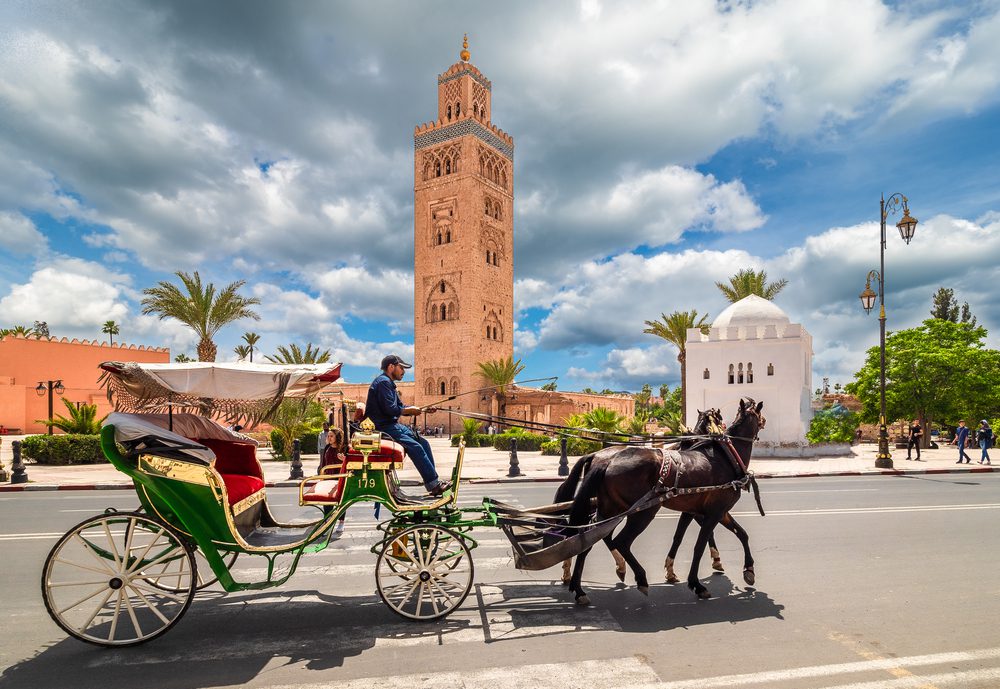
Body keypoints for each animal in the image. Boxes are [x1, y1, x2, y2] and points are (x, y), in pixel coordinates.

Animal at [560, 398, 760, 600]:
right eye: (718, 418)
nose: (718, 430)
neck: (726, 458)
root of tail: (601, 459)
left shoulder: (696, 510)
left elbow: (686, 537)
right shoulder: (715, 511)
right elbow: (701, 544)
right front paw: (700, 579)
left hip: (611, 508)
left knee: (590, 536)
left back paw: (580, 585)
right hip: (642, 512)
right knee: (619, 541)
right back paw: (637, 577)